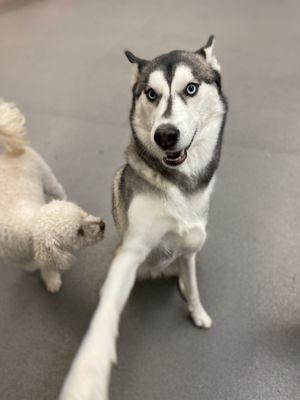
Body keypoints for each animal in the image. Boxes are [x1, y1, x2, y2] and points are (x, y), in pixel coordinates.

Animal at [0, 99, 105, 294]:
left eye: (82, 213)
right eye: (78, 232)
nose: (103, 225)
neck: (28, 225)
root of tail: (12, 151)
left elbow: (47, 267)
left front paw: (51, 280)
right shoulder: (16, 257)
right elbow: (31, 265)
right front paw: (37, 269)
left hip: (49, 181)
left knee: (60, 192)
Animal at [59, 36, 229, 398]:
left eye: (191, 88)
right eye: (151, 93)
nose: (164, 135)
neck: (179, 183)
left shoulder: (191, 247)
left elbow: (194, 284)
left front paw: (197, 312)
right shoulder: (131, 250)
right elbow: (107, 312)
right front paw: (89, 372)